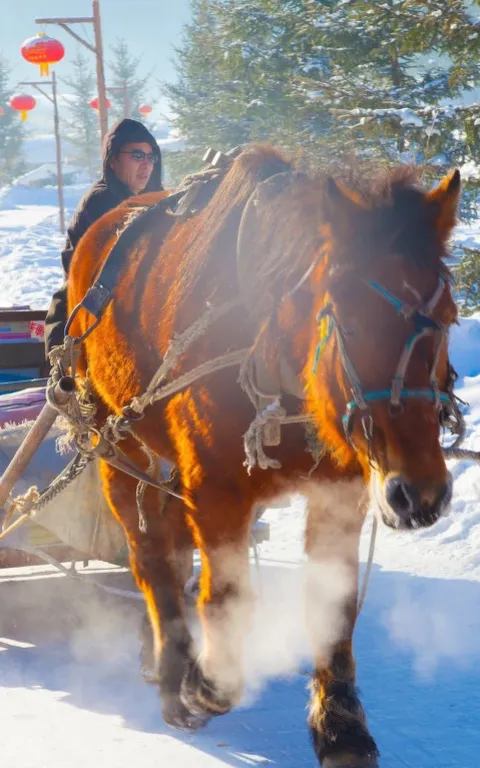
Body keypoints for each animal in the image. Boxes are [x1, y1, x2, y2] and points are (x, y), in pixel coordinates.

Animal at [65, 146, 460, 768]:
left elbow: (333, 602)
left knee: (168, 544)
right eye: (346, 321)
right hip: (115, 444)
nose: (419, 493)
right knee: (148, 555)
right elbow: (226, 599)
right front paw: (205, 684)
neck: (274, 351)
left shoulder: (342, 491)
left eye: (448, 318)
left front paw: (340, 728)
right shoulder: (214, 489)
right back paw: (173, 668)